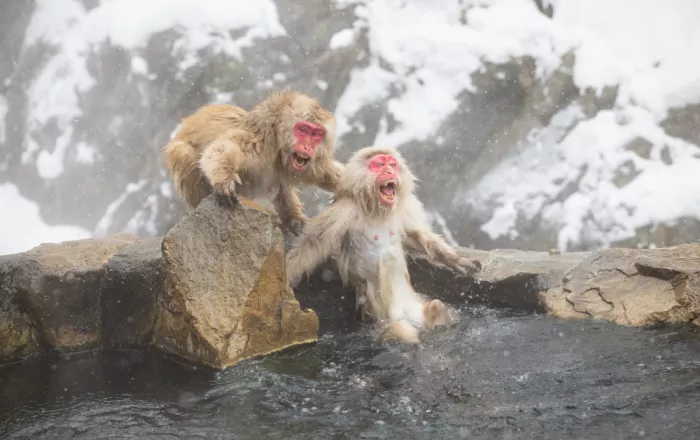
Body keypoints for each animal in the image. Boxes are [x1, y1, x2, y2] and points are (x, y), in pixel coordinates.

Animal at [163, 91, 344, 234]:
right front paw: (224, 180)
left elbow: (327, 173)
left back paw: (294, 219)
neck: (278, 147)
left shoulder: (310, 163)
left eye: (316, 134)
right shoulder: (257, 142)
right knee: (184, 153)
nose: (308, 147)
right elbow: (221, 148)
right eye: (303, 130)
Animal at [285, 146, 482, 344]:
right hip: (386, 318)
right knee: (403, 330)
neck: (377, 210)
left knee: (436, 306)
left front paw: (458, 261)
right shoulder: (344, 211)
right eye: (379, 164)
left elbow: (414, 235)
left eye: (392, 164)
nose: (389, 171)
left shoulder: (404, 208)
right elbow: (313, 242)